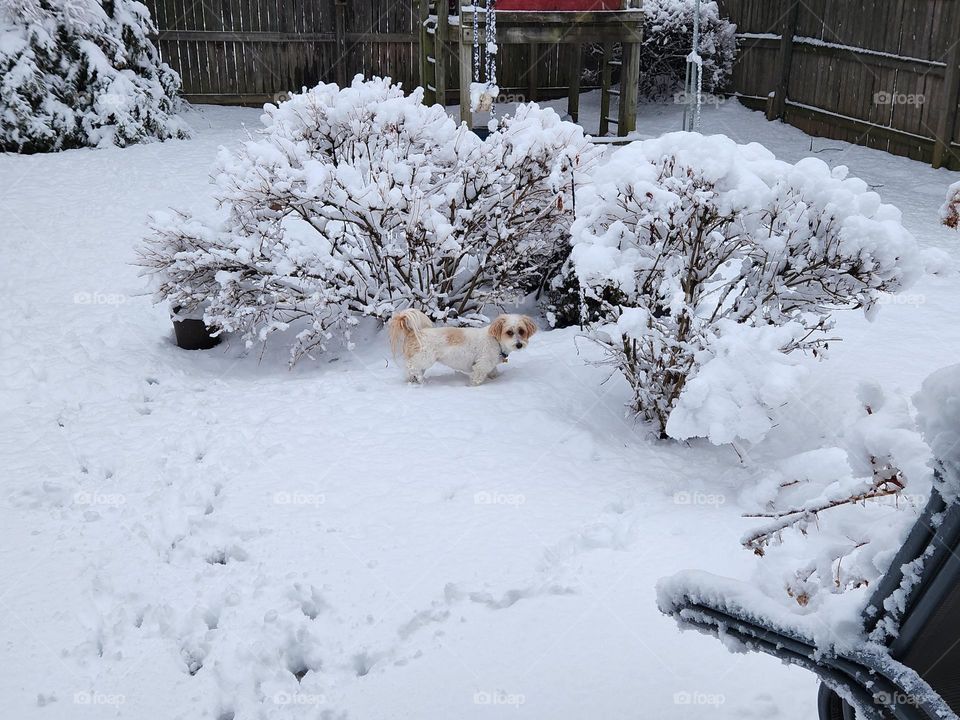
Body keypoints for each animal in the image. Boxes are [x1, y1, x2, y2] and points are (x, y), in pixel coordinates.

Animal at [390, 310, 540, 388]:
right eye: (509, 332)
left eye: (521, 331)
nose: (519, 344)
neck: (496, 341)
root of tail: (413, 332)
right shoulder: (480, 366)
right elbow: (477, 379)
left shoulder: (489, 364)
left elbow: (494, 371)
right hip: (424, 357)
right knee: (411, 366)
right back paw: (421, 381)